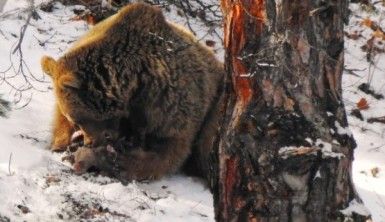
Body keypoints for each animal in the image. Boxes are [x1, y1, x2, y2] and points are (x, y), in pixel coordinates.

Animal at [40, 2, 224, 181]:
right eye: (75, 121)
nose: (89, 142)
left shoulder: (168, 103)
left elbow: (168, 150)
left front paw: (115, 161)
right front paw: (62, 143)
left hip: (215, 107)